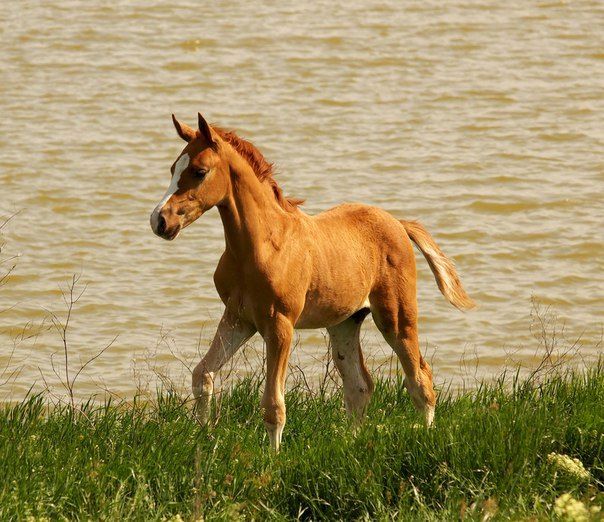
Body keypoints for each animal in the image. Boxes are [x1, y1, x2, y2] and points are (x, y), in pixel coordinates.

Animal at [149, 112, 474, 446]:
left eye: (199, 171)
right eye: (173, 168)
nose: (160, 220)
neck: (263, 245)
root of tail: (398, 222)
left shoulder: (280, 325)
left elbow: (273, 406)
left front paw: (273, 457)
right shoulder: (239, 318)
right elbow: (202, 375)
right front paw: (203, 440)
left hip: (396, 318)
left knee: (420, 378)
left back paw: (427, 436)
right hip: (345, 322)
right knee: (359, 385)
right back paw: (351, 443)